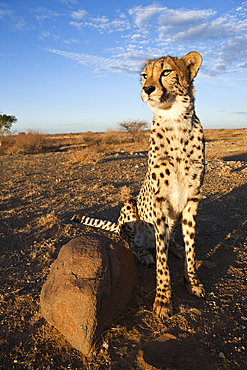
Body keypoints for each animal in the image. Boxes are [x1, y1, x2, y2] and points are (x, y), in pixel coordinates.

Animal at [72, 51, 206, 318]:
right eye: (145, 75)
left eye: (166, 72)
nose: (147, 89)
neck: (176, 120)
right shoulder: (159, 203)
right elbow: (162, 262)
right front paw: (163, 299)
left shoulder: (191, 201)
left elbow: (191, 246)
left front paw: (192, 281)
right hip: (129, 206)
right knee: (131, 243)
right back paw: (144, 252)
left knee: (170, 240)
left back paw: (175, 247)